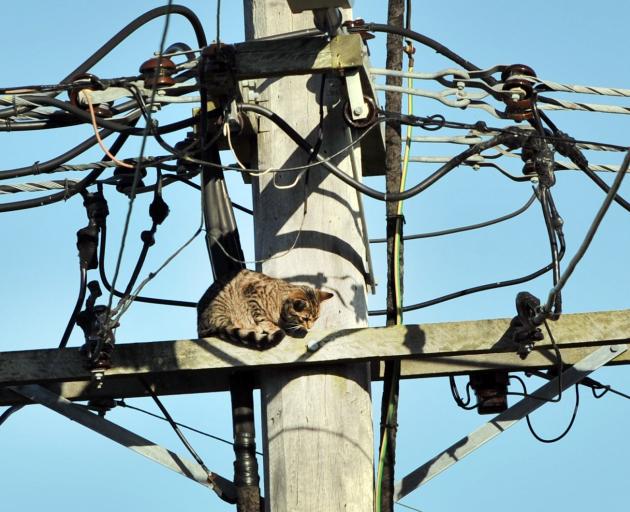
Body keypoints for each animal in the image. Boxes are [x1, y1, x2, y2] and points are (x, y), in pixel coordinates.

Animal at [199, 268, 336, 348]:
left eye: (316, 319)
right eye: (305, 318)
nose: (310, 327)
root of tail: (200, 327)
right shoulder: (252, 294)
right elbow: (261, 316)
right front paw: (273, 327)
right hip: (222, 308)